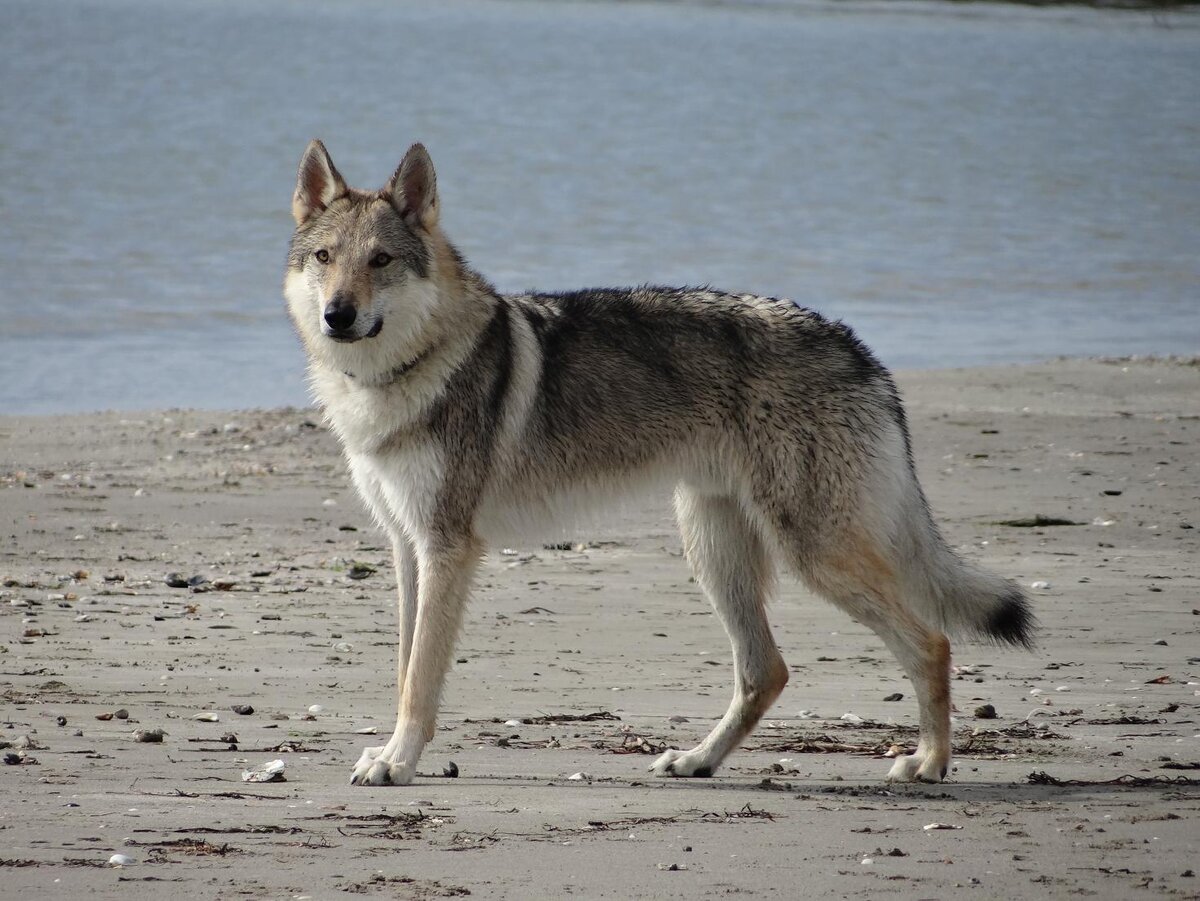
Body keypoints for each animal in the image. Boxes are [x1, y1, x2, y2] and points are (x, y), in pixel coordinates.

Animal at [283, 140, 1032, 787]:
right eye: (325, 257)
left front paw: (398, 763)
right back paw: (698, 760)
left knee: (931, 642)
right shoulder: (408, 548)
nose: (337, 315)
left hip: (813, 553)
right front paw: (389, 753)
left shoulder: (447, 548)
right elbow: (403, 669)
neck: (396, 378)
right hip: (713, 546)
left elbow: (420, 679)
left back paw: (929, 763)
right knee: (768, 671)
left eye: (381, 260)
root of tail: (860, 349)